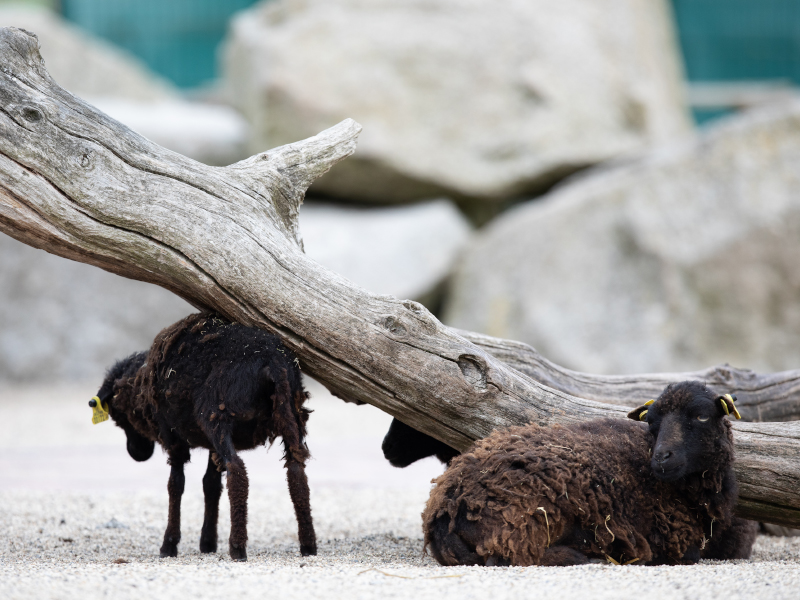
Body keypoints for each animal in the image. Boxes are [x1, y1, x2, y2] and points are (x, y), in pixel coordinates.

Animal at [92, 312, 318, 560]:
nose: (136, 453)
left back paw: (237, 547)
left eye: (118, 415)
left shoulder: (173, 438)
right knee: (296, 471)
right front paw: (208, 542)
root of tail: (272, 362)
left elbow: (175, 485)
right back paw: (308, 545)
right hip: (289, 415)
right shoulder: (210, 446)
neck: (141, 385)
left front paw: (169, 545)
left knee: (237, 470)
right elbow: (210, 484)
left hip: (215, 417)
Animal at [422, 382, 760, 564]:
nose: (662, 457)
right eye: (651, 421)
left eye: (702, 416)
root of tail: (443, 508)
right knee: (509, 557)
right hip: (526, 518)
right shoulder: (677, 543)